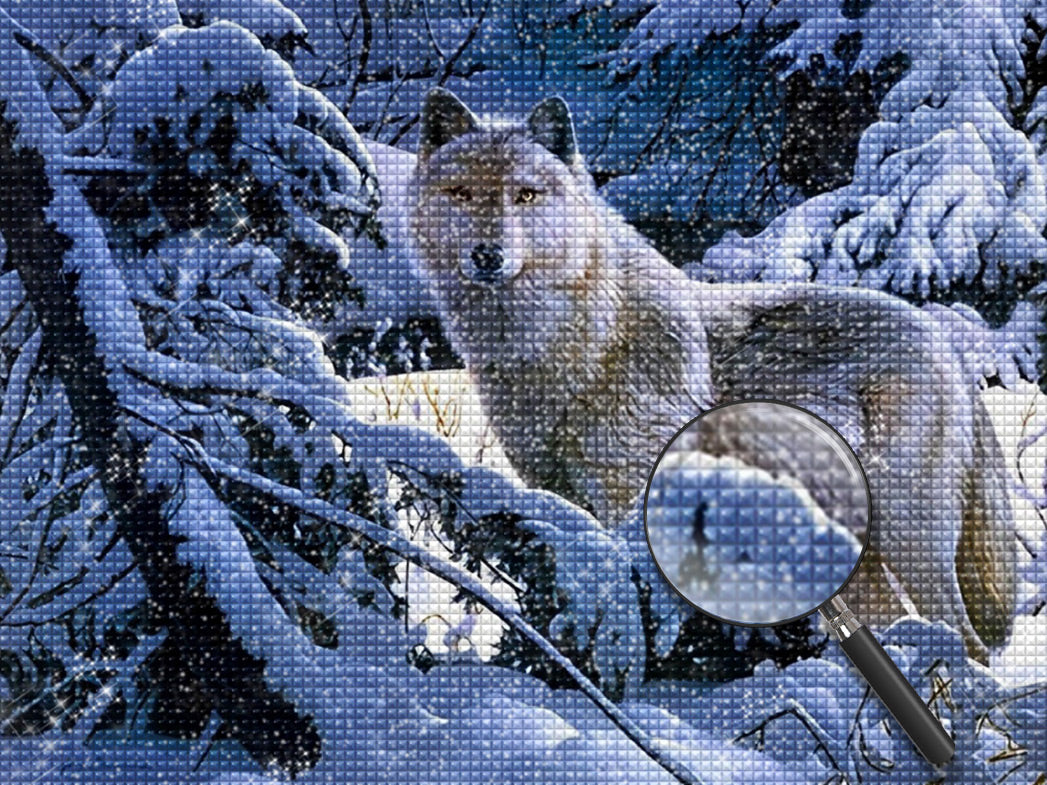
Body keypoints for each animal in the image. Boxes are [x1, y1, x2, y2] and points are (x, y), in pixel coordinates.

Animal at [408, 88, 1018, 662]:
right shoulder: (558, 494)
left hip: (908, 534)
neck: (567, 346)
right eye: (462, 194)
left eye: (525, 195)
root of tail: (944, 342)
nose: (487, 254)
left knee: (969, 641)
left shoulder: (632, 487)